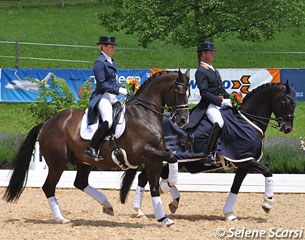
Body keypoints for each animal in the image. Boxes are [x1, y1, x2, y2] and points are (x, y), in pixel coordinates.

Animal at [4, 69, 190, 227]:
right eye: (179, 90)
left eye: (189, 93)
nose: (183, 120)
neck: (144, 115)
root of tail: (47, 122)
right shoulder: (143, 153)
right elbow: (171, 158)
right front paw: (168, 188)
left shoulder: (153, 159)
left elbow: (157, 182)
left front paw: (164, 215)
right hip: (58, 163)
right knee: (49, 187)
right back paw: (62, 218)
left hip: (83, 161)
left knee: (80, 182)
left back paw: (107, 205)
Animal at [122, 81, 296, 220]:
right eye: (286, 101)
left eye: (294, 102)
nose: (288, 128)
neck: (247, 122)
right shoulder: (245, 159)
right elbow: (268, 172)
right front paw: (267, 204)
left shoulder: (243, 164)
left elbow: (235, 187)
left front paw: (229, 213)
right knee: (148, 178)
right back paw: (144, 208)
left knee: (150, 177)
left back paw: (160, 204)